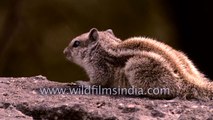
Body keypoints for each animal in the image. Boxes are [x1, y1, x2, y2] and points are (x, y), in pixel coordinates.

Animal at [63, 27, 213, 99]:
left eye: (76, 44)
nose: (64, 52)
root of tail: (185, 79)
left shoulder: (98, 66)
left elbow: (97, 82)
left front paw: (82, 83)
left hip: (134, 66)